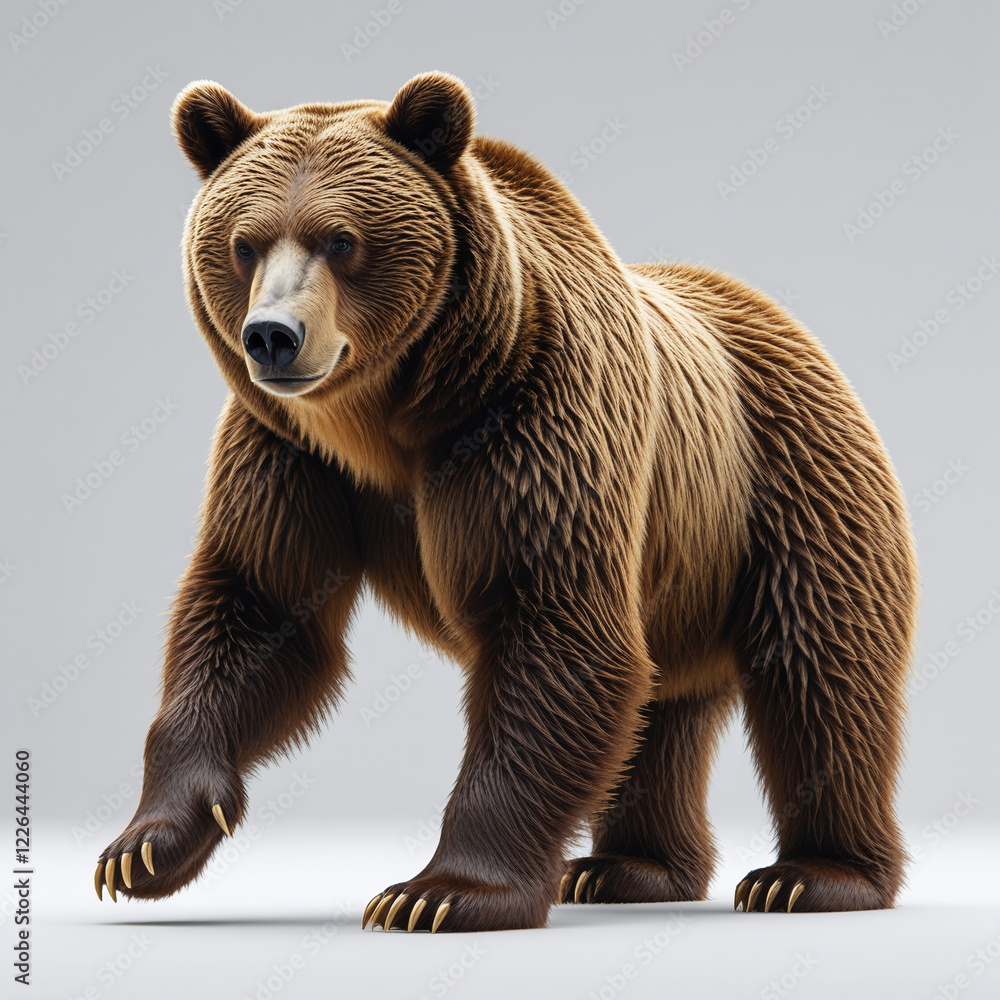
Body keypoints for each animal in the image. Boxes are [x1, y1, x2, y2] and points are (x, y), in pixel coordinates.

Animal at [94, 71, 918, 933]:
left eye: (342, 240)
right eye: (244, 243)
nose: (272, 337)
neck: (391, 419)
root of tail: (783, 321)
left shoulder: (534, 423)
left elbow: (553, 630)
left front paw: (439, 892)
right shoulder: (289, 455)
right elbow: (258, 606)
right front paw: (144, 846)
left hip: (791, 487)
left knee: (819, 675)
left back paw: (811, 876)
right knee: (664, 704)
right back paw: (630, 868)